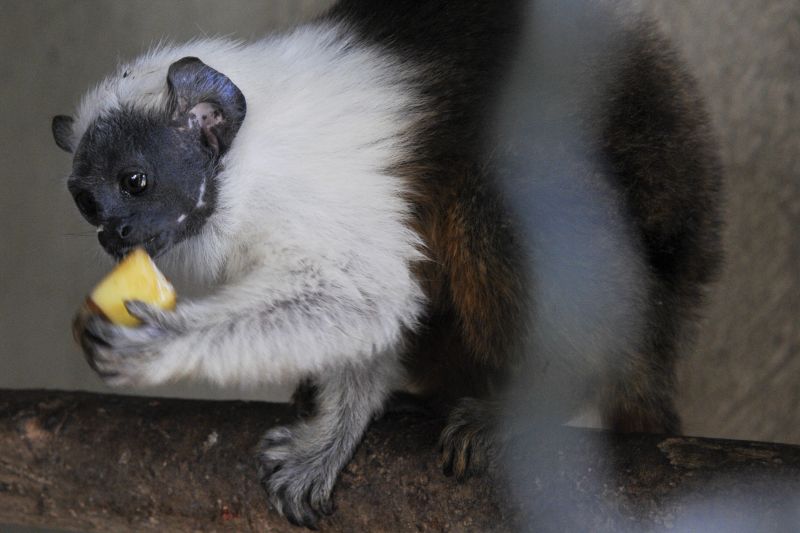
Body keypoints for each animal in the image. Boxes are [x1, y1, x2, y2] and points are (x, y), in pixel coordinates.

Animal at [53, 0, 720, 524]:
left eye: (135, 181)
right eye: (88, 202)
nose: (115, 233)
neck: (238, 164)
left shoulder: (302, 192)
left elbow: (367, 292)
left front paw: (158, 344)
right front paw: (338, 425)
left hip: (640, 290)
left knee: (495, 189)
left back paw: (544, 393)